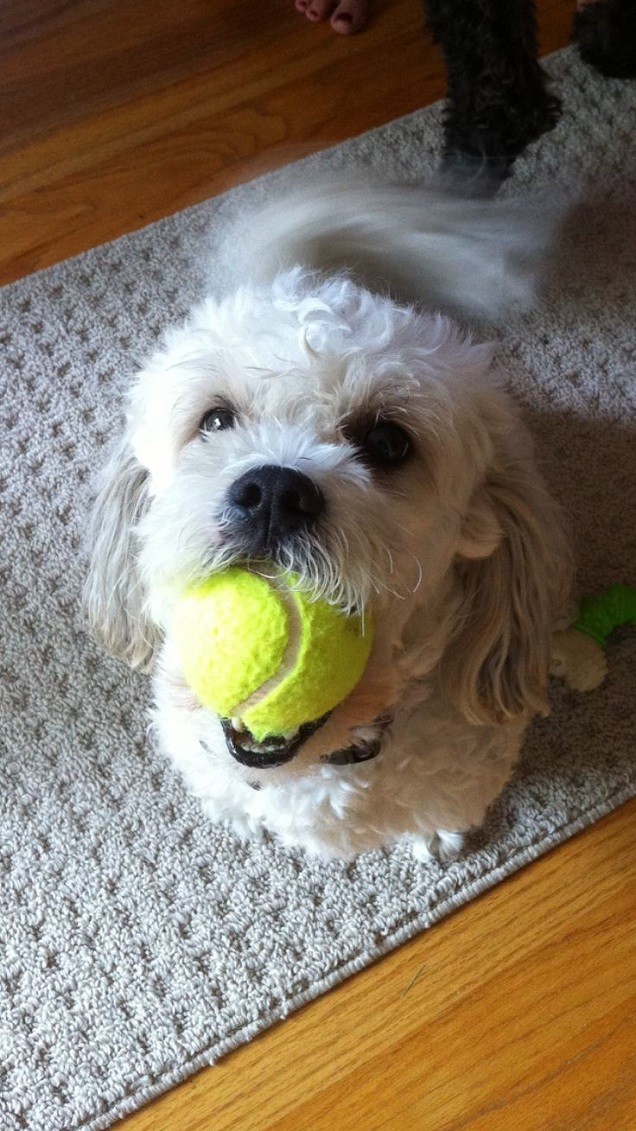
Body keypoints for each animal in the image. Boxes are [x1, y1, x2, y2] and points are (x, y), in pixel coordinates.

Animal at [84, 180, 570, 859]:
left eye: (388, 443)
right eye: (216, 420)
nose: (272, 492)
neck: (313, 764)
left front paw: (434, 834)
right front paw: (233, 812)